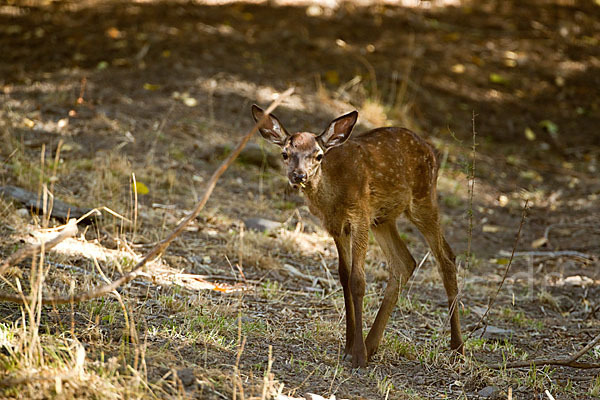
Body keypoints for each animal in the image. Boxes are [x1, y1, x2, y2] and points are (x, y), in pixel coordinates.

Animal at [250, 104, 464, 368]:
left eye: (318, 155)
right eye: (285, 154)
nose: (298, 176)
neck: (333, 197)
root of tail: (432, 151)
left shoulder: (360, 215)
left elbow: (358, 281)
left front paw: (358, 355)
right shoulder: (336, 225)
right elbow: (344, 276)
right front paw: (349, 346)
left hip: (422, 199)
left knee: (446, 258)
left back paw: (457, 347)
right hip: (383, 218)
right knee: (405, 262)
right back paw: (373, 345)